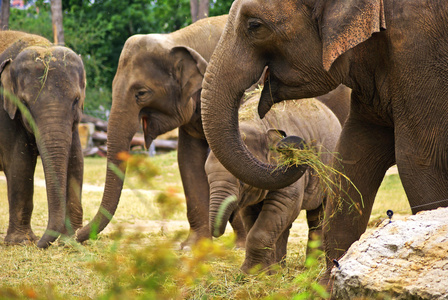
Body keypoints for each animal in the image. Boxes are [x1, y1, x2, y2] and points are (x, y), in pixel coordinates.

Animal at [0, 30, 86, 247]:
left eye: (76, 100)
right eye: (24, 103)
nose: (40, 244)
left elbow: (76, 161)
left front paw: (70, 238)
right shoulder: (5, 113)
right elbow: (19, 163)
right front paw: (21, 242)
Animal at [75, 14, 247, 248]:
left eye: (141, 93)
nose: (75, 234)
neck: (178, 38)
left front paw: (240, 244)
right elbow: (188, 159)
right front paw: (191, 247)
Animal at [202, 0, 448, 284]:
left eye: (255, 26)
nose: (290, 142)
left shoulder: (419, 51)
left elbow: (417, 160)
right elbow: (354, 154)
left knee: (314, 216)